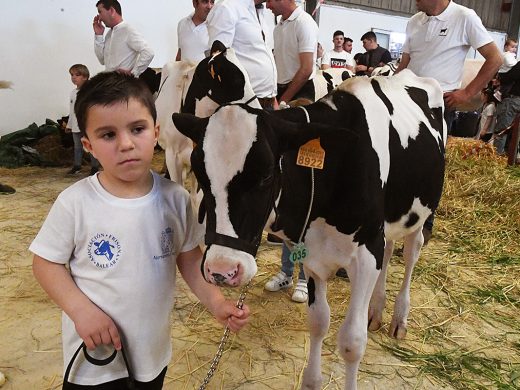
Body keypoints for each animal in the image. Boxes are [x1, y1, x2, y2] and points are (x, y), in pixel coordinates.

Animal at [172, 68, 446, 388]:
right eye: (202, 176)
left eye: (266, 175)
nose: (222, 270)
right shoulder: (315, 255)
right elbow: (318, 323)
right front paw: (313, 379)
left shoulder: (367, 252)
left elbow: (352, 342)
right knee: (390, 251)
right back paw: (376, 310)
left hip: (421, 213)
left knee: (412, 254)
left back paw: (399, 318)